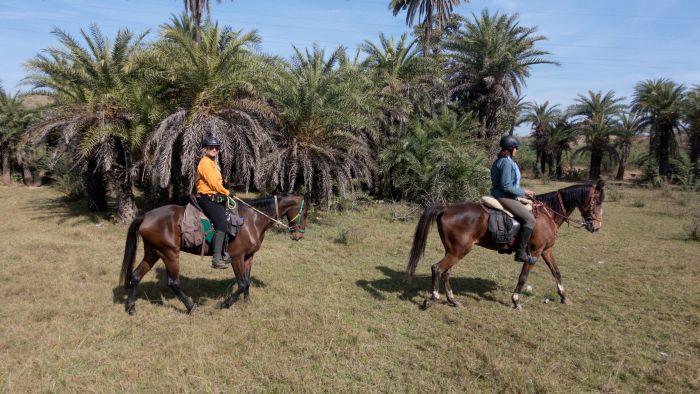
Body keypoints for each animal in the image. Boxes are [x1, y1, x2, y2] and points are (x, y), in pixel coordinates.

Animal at [119, 195, 306, 316]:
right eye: (303, 212)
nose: (299, 236)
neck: (251, 220)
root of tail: (145, 216)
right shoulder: (237, 258)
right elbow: (242, 283)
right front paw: (225, 304)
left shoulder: (248, 257)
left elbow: (247, 281)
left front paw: (247, 302)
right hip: (170, 254)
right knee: (173, 282)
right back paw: (191, 307)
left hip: (153, 253)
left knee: (135, 276)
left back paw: (131, 308)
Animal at [408, 180, 604, 310]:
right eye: (596, 201)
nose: (596, 226)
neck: (547, 214)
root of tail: (446, 208)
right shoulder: (534, 253)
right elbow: (523, 277)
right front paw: (516, 300)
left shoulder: (546, 250)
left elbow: (556, 272)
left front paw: (564, 297)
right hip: (458, 251)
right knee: (437, 269)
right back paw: (432, 299)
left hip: (454, 251)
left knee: (446, 272)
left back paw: (452, 300)